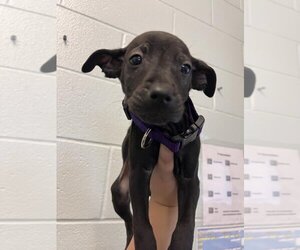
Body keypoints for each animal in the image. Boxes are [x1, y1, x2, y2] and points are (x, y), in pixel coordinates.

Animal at [82, 31, 216, 250]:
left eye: (185, 68)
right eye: (135, 59)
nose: (161, 94)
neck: (167, 132)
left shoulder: (190, 179)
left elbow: (186, 222)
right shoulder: (139, 175)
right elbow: (142, 224)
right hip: (120, 192)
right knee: (129, 222)